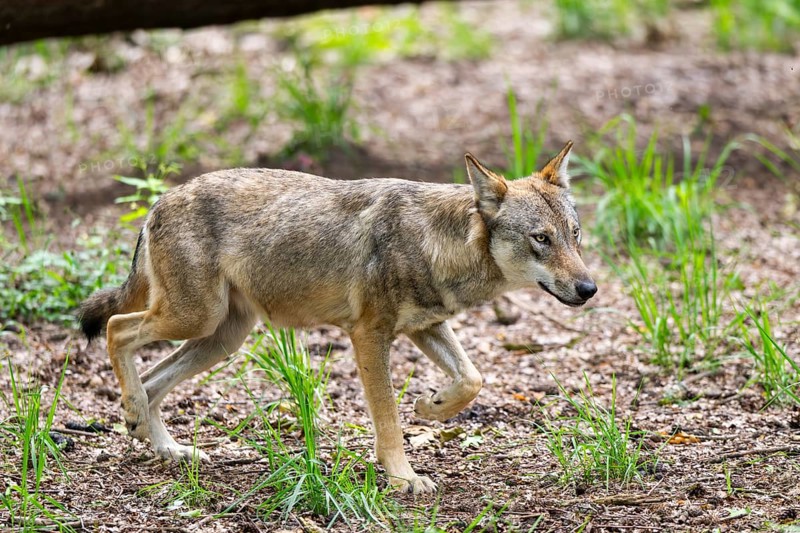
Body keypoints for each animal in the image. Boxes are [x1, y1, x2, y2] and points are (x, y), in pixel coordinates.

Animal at [79, 141, 596, 493]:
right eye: (541, 239)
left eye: (574, 234)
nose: (589, 289)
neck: (439, 241)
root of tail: (158, 201)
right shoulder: (369, 335)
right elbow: (388, 418)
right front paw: (404, 477)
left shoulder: (426, 327)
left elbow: (472, 378)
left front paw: (430, 406)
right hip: (194, 320)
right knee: (116, 330)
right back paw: (136, 415)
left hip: (219, 339)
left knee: (151, 380)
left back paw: (164, 445)